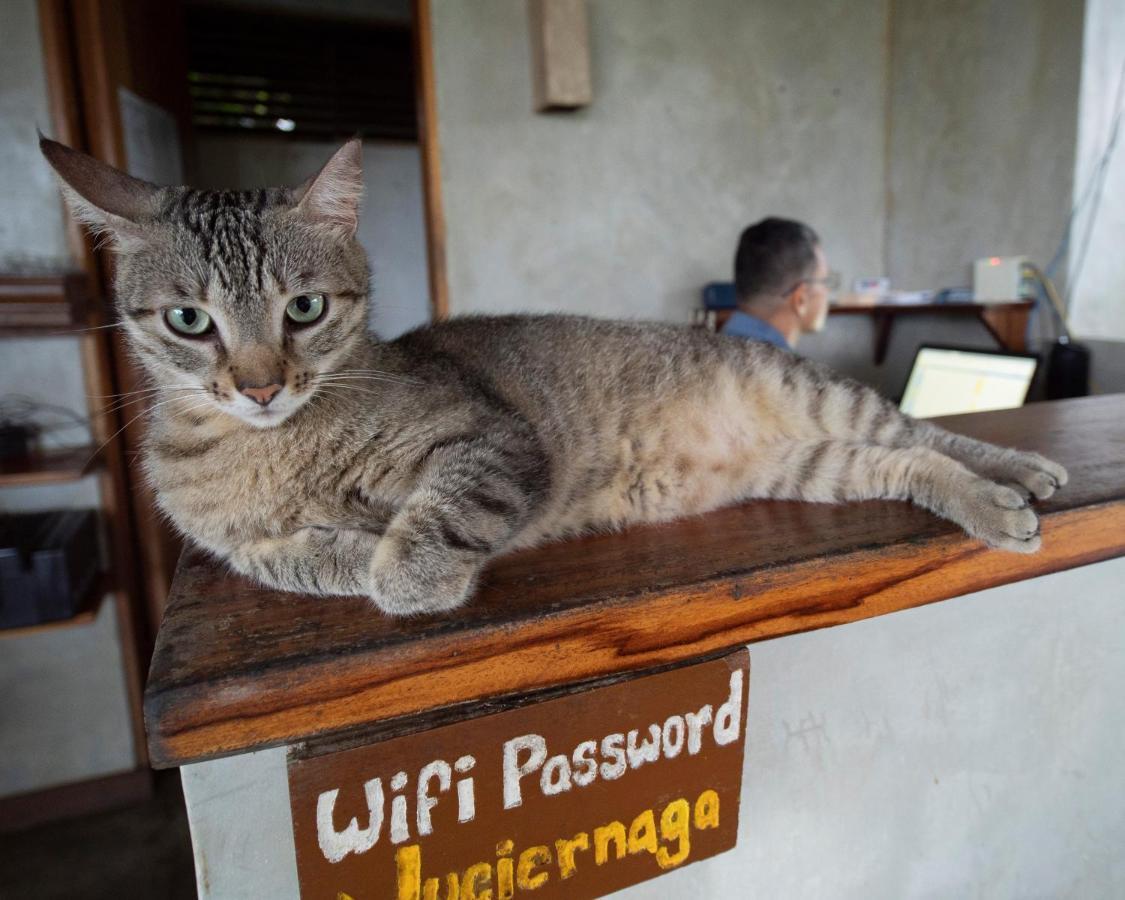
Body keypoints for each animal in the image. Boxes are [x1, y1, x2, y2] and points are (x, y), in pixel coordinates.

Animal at [41, 140, 1062, 616]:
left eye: (304, 309)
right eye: (189, 321)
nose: (258, 387)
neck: (274, 448)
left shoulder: (489, 440)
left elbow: (428, 518)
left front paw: (404, 568)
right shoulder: (242, 548)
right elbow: (308, 557)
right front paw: (357, 554)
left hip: (821, 401)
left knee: (927, 434)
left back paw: (1019, 479)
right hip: (810, 465)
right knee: (905, 465)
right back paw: (991, 500)